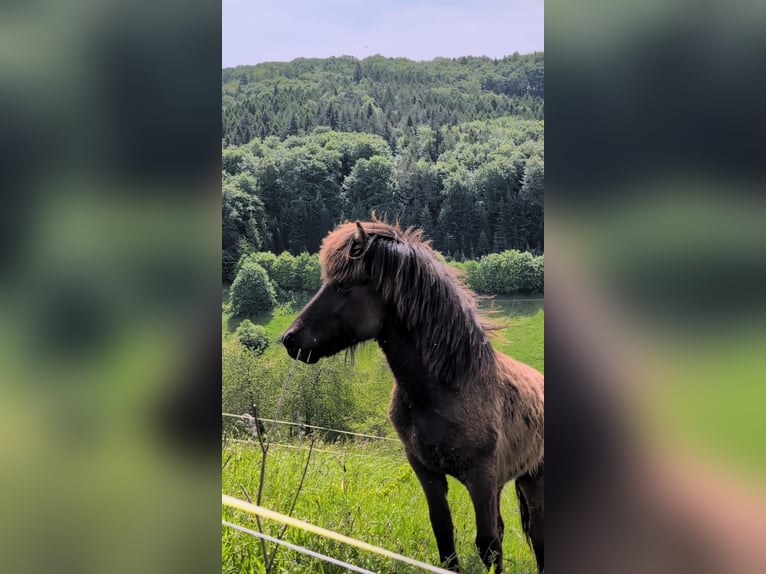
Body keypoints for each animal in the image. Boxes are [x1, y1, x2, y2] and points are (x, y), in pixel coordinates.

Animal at [280, 220, 544, 573]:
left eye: (345, 287)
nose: (290, 338)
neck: (448, 388)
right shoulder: (426, 471)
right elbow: (445, 535)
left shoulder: (481, 477)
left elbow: (489, 546)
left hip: (532, 481)